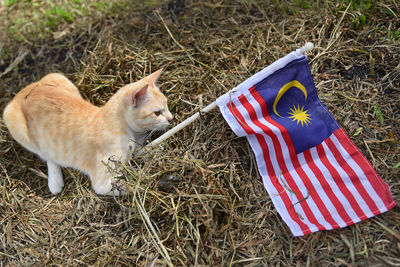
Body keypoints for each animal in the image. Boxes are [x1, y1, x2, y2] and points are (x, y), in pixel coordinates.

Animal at [3, 69, 173, 196]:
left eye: (167, 105)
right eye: (157, 112)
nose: (171, 118)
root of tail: (22, 92)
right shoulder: (103, 182)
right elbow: (129, 184)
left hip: (59, 77)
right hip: (12, 120)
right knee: (45, 154)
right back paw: (55, 182)